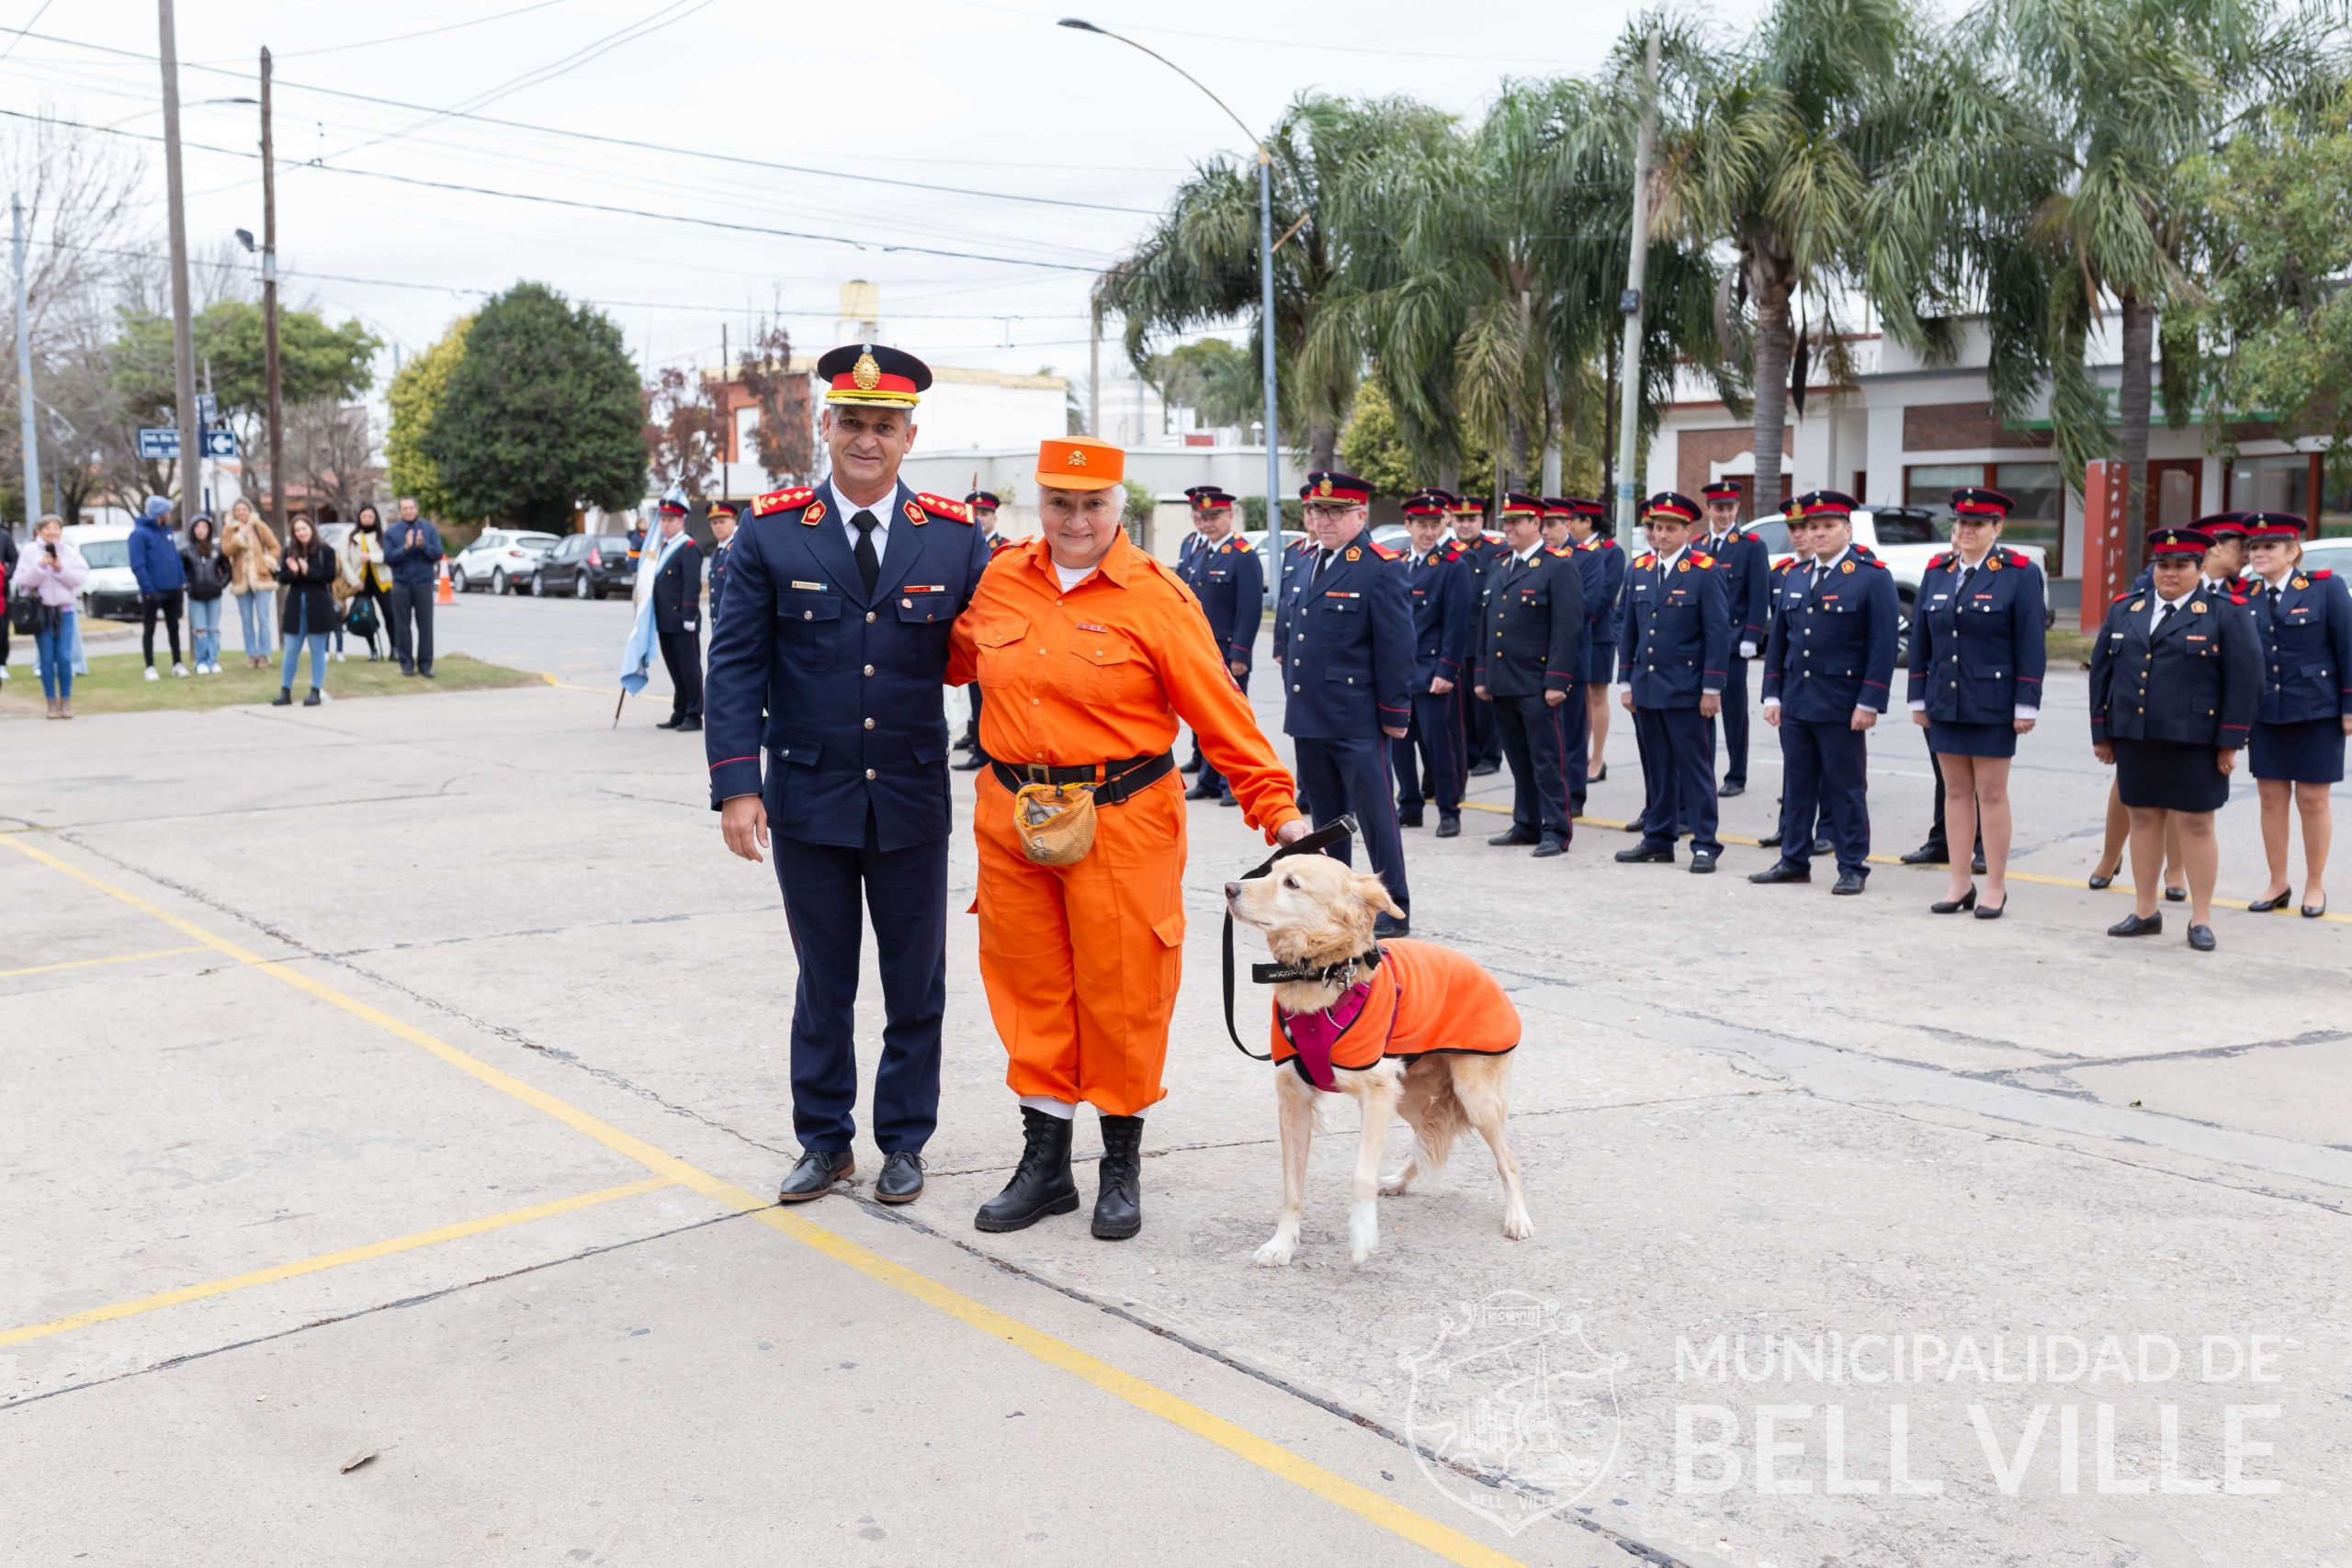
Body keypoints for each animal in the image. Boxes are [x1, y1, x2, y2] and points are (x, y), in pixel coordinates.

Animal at [1225, 855, 1533, 1266]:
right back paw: (1400, 1181)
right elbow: (1291, 1184)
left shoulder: (1376, 1093)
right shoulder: (1294, 1097)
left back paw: (1517, 1217)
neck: (1323, 974)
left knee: (1507, 1160)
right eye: (1270, 871)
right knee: (1430, 1134)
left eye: (1291, 883)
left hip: (1475, 1097)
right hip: (1409, 1096)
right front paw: (1282, 1244)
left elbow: (1361, 1175)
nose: (1229, 888)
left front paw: (1361, 1237)